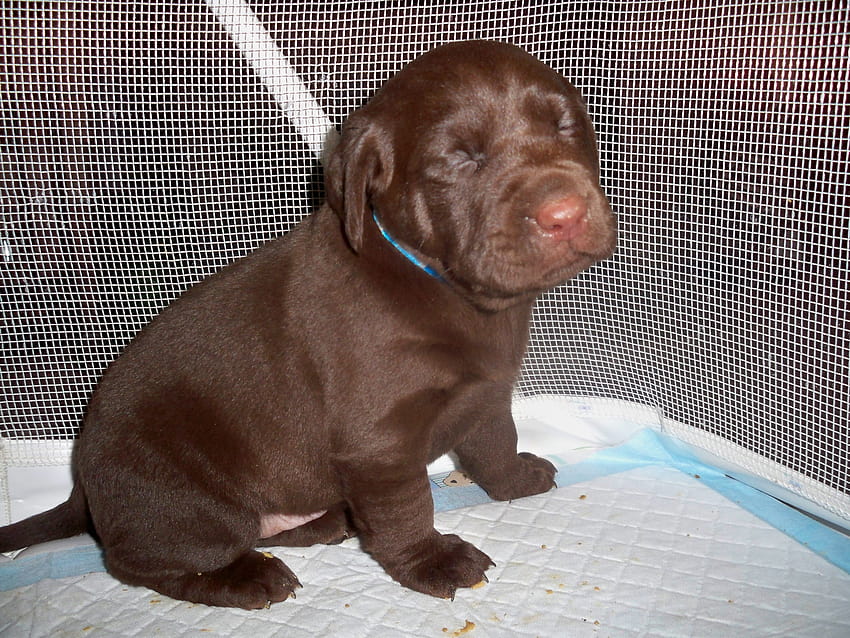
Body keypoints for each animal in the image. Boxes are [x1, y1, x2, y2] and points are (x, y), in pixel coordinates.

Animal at [0, 40, 612, 608]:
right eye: (460, 159)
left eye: (565, 123)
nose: (565, 214)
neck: (449, 290)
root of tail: (82, 482)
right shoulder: (379, 443)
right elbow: (407, 510)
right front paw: (431, 560)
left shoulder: (485, 394)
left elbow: (495, 444)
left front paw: (514, 480)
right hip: (178, 502)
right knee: (149, 562)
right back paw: (247, 577)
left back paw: (323, 523)